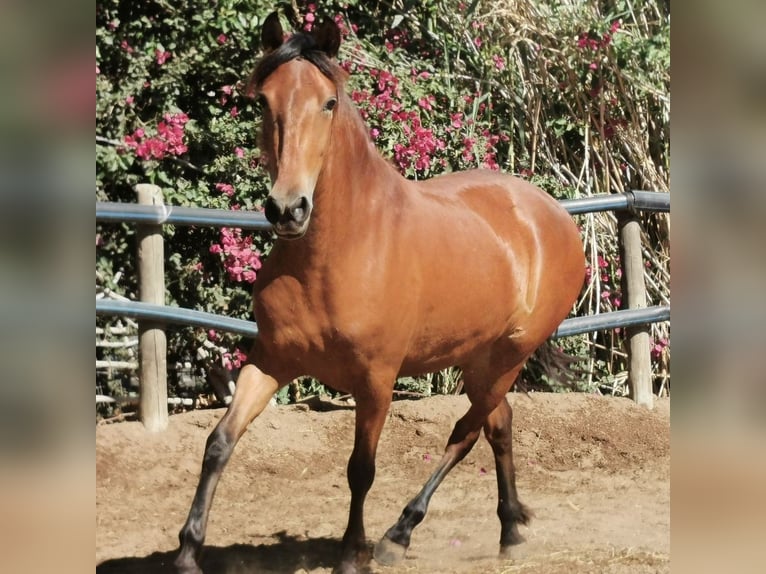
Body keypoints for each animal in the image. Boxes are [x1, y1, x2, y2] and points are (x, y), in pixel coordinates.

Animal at [176, 12, 588, 574]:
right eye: (263, 100)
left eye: (328, 102)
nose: (287, 209)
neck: (338, 252)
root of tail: (551, 214)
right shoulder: (271, 360)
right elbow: (219, 442)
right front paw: (187, 550)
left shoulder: (375, 381)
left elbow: (361, 468)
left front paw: (353, 553)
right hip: (480, 359)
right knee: (497, 425)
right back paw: (508, 531)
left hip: (508, 356)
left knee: (465, 433)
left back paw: (400, 533)